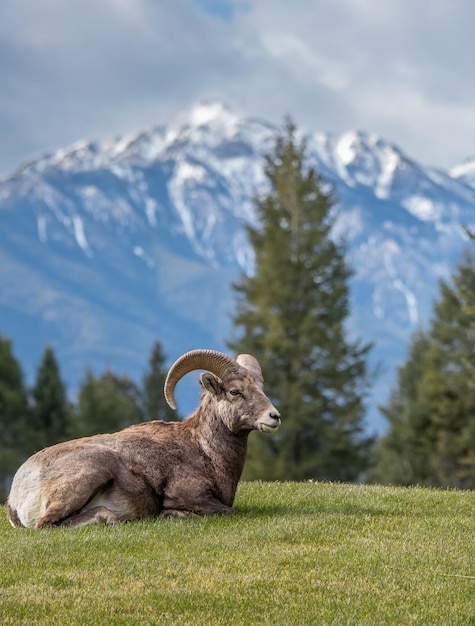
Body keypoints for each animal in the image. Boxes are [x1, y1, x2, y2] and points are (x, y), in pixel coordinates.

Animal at [5, 348, 280, 524]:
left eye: (261, 388)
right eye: (235, 392)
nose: (274, 416)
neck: (203, 451)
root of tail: (15, 496)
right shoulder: (194, 497)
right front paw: (171, 515)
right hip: (92, 471)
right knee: (47, 523)